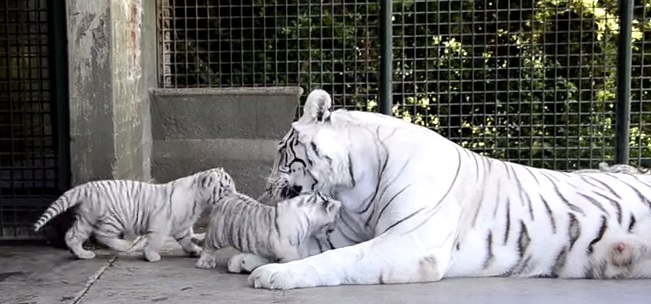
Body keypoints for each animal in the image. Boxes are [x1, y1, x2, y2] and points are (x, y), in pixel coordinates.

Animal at [33, 167, 236, 262]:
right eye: (226, 188)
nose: (236, 194)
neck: (199, 200)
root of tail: (86, 187)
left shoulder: (182, 227)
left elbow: (186, 240)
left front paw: (195, 250)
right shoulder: (161, 223)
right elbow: (155, 240)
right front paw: (151, 256)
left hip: (86, 219)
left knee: (72, 236)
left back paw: (82, 254)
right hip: (113, 218)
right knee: (102, 235)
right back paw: (126, 246)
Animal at [196, 190, 342, 274]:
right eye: (335, 217)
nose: (334, 228)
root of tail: (230, 195)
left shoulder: (302, 245)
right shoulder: (288, 250)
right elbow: (293, 259)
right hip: (218, 234)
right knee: (208, 245)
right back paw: (205, 262)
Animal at [244, 88, 651, 290]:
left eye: (281, 151)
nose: (266, 184)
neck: (354, 186)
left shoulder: (410, 243)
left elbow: (335, 259)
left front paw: (274, 274)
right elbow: (308, 247)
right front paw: (250, 258)